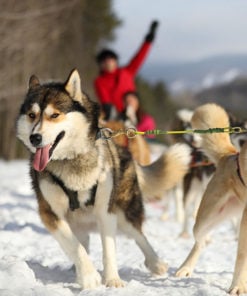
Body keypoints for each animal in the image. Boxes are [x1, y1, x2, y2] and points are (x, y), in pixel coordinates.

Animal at [16, 69, 191, 290]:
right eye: (32, 115)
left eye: (54, 115)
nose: (35, 138)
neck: (72, 161)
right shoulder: (50, 213)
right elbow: (75, 247)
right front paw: (89, 276)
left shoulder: (106, 211)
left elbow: (109, 249)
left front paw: (112, 280)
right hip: (78, 222)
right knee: (82, 242)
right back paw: (76, 271)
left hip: (125, 210)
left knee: (139, 235)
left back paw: (155, 263)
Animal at [176, 103, 247, 294]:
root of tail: (230, 155)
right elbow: (242, 258)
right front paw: (238, 286)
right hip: (206, 219)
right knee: (200, 241)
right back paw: (185, 267)